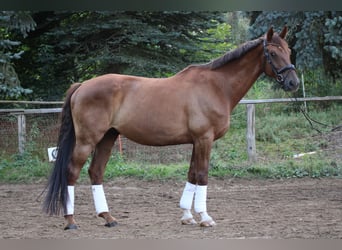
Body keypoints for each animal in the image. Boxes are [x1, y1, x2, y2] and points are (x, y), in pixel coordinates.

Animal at [43, 26, 300, 229]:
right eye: (273, 53)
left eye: (288, 51)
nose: (293, 82)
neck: (216, 86)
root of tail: (82, 85)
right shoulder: (204, 139)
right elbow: (202, 175)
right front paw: (205, 218)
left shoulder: (196, 141)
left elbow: (192, 175)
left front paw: (187, 216)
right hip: (87, 140)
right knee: (71, 172)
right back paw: (71, 221)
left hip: (108, 137)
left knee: (96, 172)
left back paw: (108, 218)